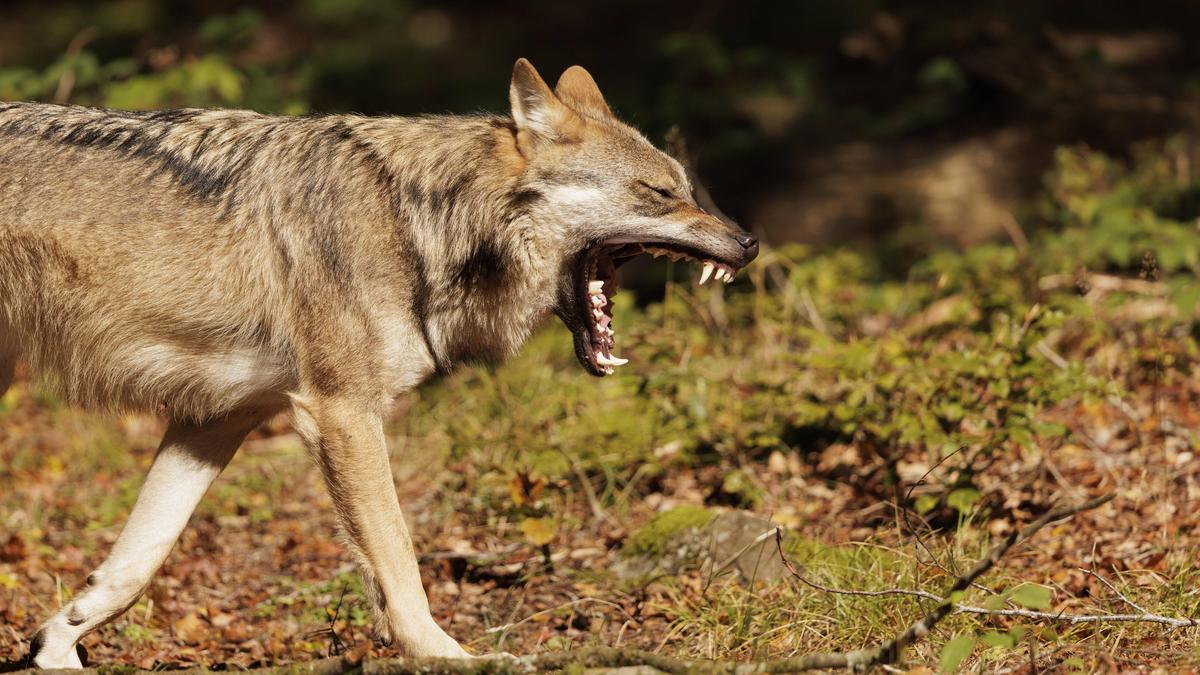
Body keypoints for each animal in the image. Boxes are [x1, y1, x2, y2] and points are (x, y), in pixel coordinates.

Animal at [2, 56, 758, 662]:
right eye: (659, 192)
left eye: (683, 184)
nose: (749, 243)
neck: (416, 220)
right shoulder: (341, 414)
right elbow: (400, 564)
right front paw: (451, 658)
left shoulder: (217, 420)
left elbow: (134, 565)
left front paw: (57, 646)